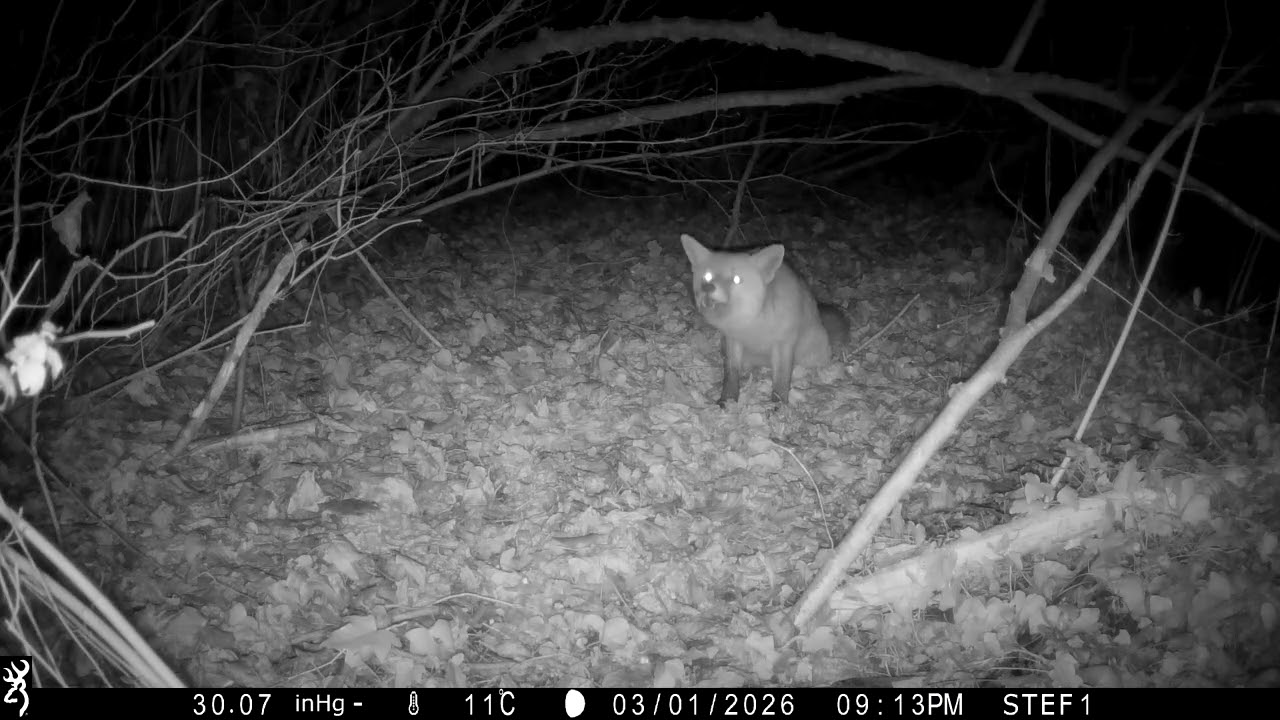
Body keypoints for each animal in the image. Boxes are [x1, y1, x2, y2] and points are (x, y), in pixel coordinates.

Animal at [679, 233, 850, 406]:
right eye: (707, 276)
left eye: (736, 279)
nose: (708, 288)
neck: (752, 326)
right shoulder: (732, 342)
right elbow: (730, 375)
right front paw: (727, 400)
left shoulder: (783, 344)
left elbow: (781, 380)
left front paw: (779, 406)